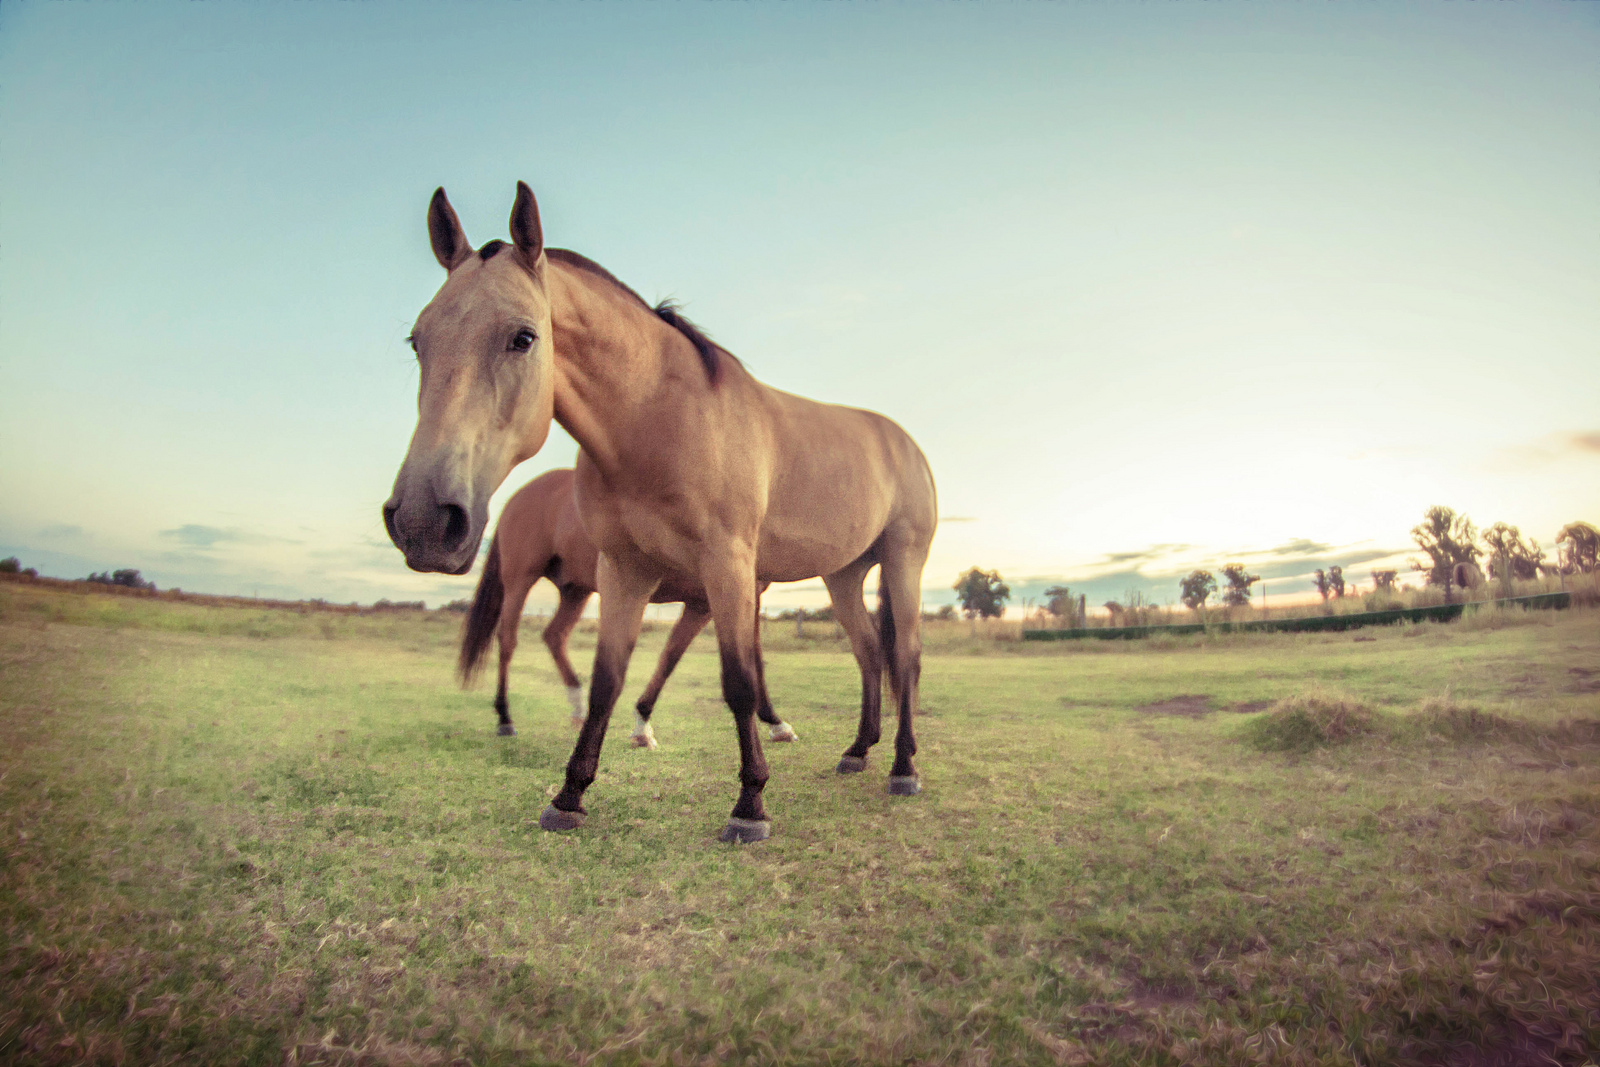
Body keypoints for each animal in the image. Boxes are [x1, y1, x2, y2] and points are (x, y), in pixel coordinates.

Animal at [457, 466, 798, 749]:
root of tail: (518, 497)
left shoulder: (738, 598)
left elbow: (746, 658)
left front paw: (776, 723)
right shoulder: (704, 603)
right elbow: (672, 657)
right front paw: (642, 725)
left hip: (575, 590)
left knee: (554, 636)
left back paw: (578, 708)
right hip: (520, 580)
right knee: (508, 641)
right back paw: (505, 718)